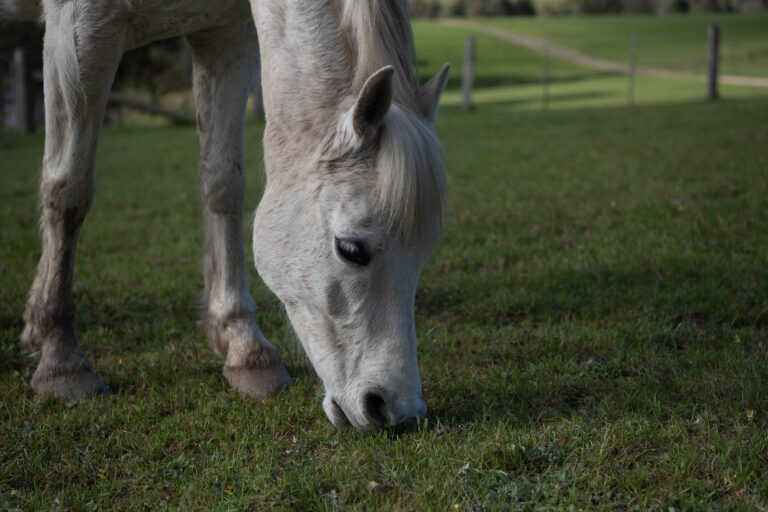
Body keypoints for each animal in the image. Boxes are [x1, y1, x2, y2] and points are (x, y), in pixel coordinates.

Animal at [2, 0, 449, 434]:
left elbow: (223, 184)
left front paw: (243, 346)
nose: (397, 411)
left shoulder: (224, 36)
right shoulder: (78, 30)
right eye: (351, 249)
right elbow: (69, 190)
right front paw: (61, 359)